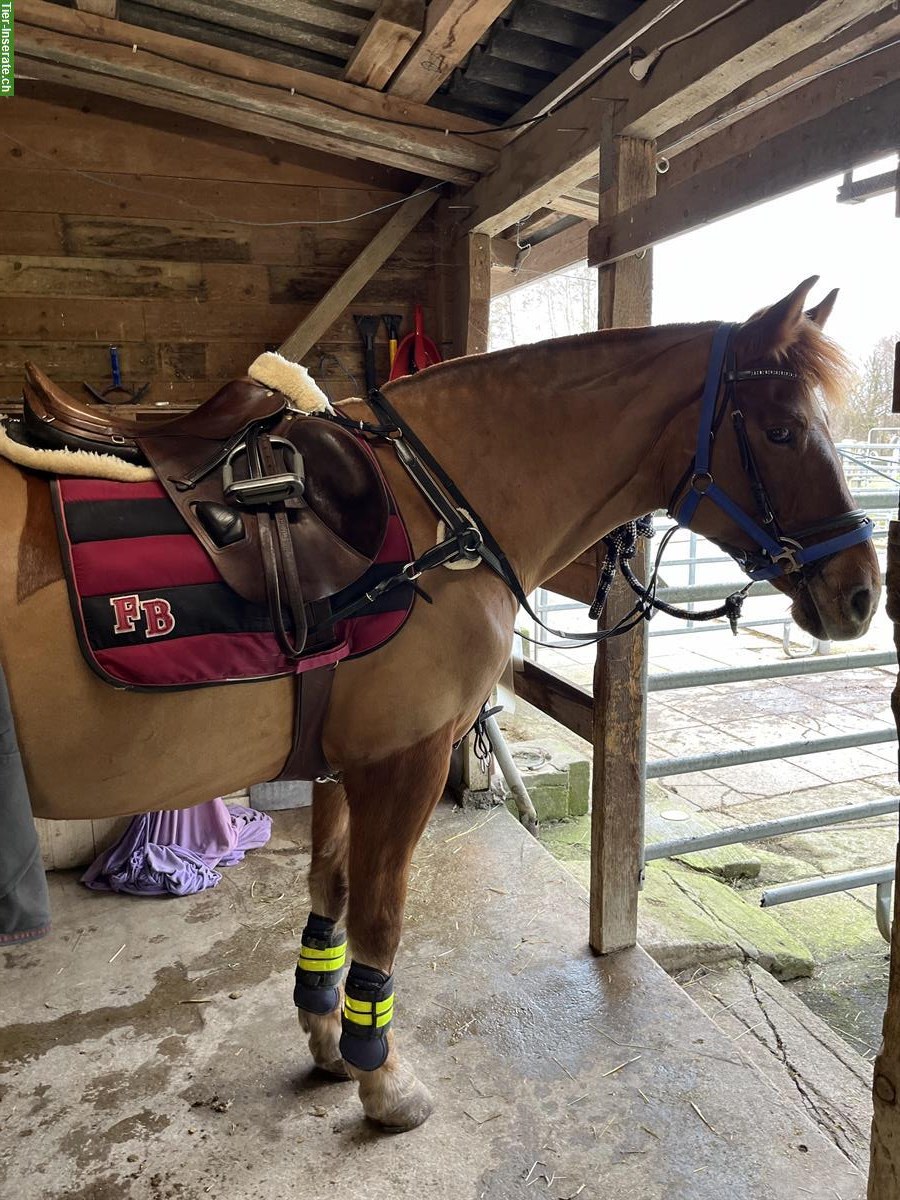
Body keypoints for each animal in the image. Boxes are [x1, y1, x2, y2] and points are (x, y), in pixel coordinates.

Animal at [0, 276, 883, 1128]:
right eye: (781, 432)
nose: (862, 594)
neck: (439, 511)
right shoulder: (408, 758)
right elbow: (380, 915)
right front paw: (381, 1074)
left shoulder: (339, 762)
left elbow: (330, 888)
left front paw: (325, 1031)